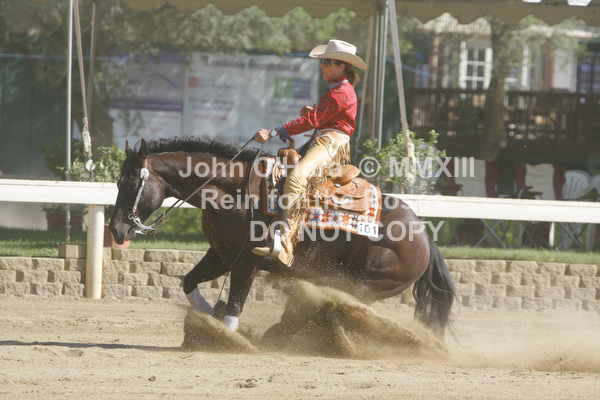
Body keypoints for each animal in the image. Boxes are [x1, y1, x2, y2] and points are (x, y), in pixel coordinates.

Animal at [109, 135, 456, 339]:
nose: (117, 229)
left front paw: (227, 334)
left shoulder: (246, 261)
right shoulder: (220, 255)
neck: (233, 192)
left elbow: (236, 303)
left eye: (131, 183)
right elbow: (189, 281)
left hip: (362, 285)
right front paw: (209, 316)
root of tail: (424, 237)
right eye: (117, 181)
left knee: (327, 309)